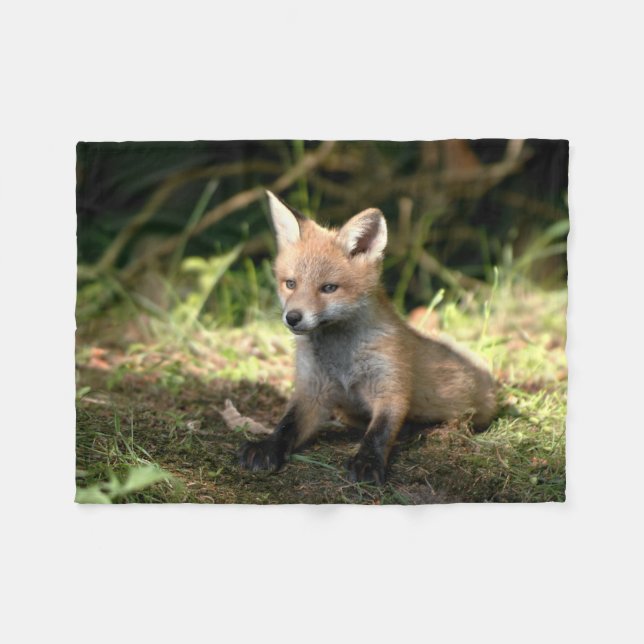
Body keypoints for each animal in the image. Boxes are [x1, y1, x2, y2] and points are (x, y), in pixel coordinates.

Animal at [239, 190, 497, 484]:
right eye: (290, 284)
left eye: (329, 288)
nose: (292, 317)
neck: (342, 358)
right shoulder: (312, 390)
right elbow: (286, 425)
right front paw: (267, 447)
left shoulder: (390, 386)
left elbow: (379, 432)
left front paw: (367, 461)